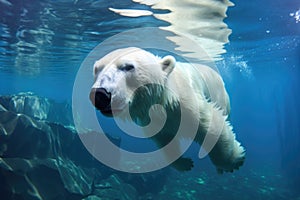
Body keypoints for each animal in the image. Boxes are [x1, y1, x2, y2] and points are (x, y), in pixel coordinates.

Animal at [90, 47, 245, 173]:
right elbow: (165, 140)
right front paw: (185, 164)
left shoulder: (188, 102)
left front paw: (232, 162)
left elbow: (212, 124)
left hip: (220, 95)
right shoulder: (156, 120)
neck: (165, 101)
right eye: (97, 69)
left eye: (128, 67)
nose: (100, 95)